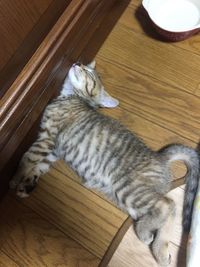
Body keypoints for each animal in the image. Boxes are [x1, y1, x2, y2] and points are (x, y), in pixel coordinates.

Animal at [9, 61, 200, 267]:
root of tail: (159, 156)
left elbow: (27, 157)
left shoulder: (47, 139)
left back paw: (144, 233)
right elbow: (38, 167)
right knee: (166, 212)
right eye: (85, 66)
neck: (71, 97)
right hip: (129, 201)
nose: (77, 63)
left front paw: (14, 178)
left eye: (89, 74)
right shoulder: (53, 151)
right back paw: (160, 249)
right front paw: (27, 183)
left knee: (167, 204)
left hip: (128, 189)